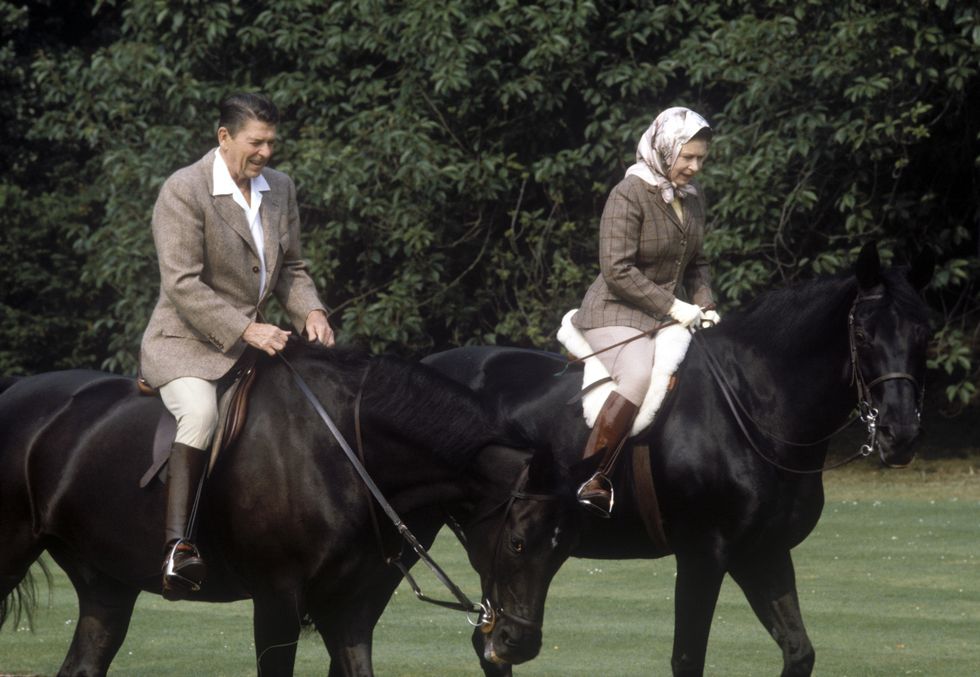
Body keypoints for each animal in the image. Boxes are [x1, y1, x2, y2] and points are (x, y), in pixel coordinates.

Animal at [0, 346, 564, 672]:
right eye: (517, 543)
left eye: (560, 552)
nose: (518, 642)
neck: (344, 452)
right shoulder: (277, 603)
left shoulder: (350, 611)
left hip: (106, 588)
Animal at [428, 240, 936, 672]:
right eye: (863, 335)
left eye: (924, 334)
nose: (901, 434)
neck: (751, 407)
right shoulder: (703, 554)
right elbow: (688, 659)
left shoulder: (764, 553)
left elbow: (799, 652)